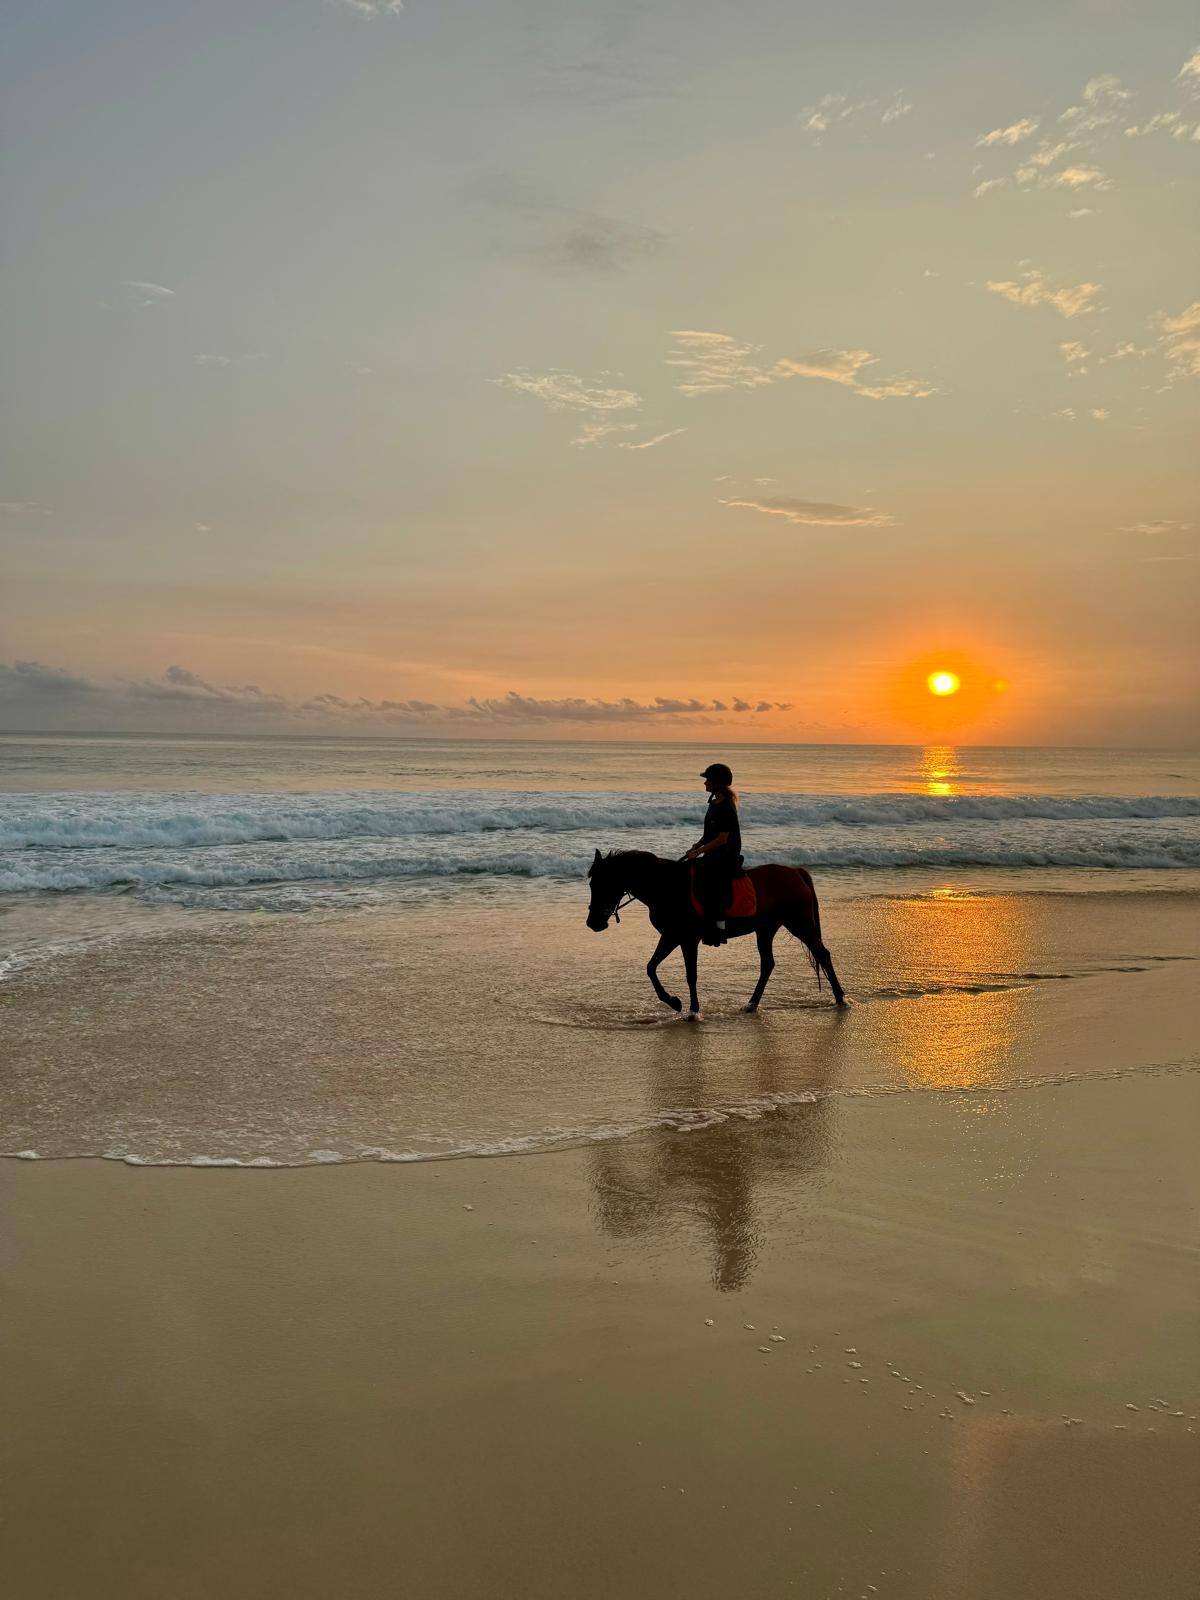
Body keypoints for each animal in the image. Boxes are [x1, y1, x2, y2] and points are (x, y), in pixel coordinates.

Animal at [588, 851, 851, 1011]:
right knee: (768, 964)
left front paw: (693, 1010)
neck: (667, 887)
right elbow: (651, 967)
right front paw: (673, 1002)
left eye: (602, 883)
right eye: (592, 884)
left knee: (822, 954)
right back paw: (751, 1004)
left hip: (799, 924)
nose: (593, 923)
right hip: (766, 929)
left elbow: (690, 974)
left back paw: (841, 998)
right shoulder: (672, 935)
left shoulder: (687, 939)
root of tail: (796, 872)